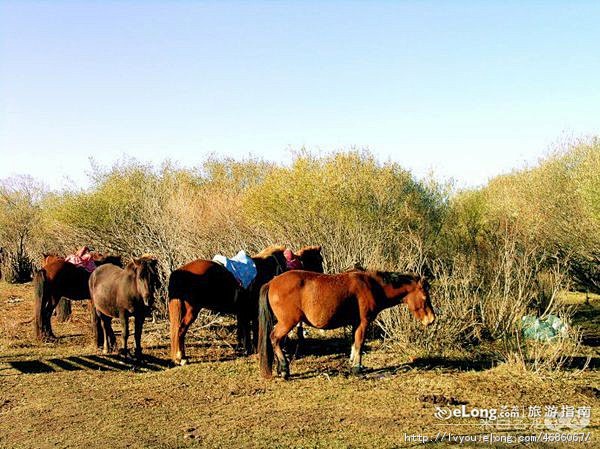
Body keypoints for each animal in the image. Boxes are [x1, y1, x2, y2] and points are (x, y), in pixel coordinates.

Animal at [168, 245, 324, 364]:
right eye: (319, 262)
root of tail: (179, 272)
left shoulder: (245, 312)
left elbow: (246, 331)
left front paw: (248, 349)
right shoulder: (255, 312)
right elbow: (254, 331)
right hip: (191, 311)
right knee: (180, 330)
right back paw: (181, 358)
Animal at [258, 270, 436, 378]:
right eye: (425, 298)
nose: (431, 320)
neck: (372, 286)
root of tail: (271, 283)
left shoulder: (355, 323)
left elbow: (353, 344)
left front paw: (353, 363)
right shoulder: (363, 322)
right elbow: (359, 344)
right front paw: (357, 368)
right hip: (287, 323)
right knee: (274, 338)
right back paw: (284, 369)